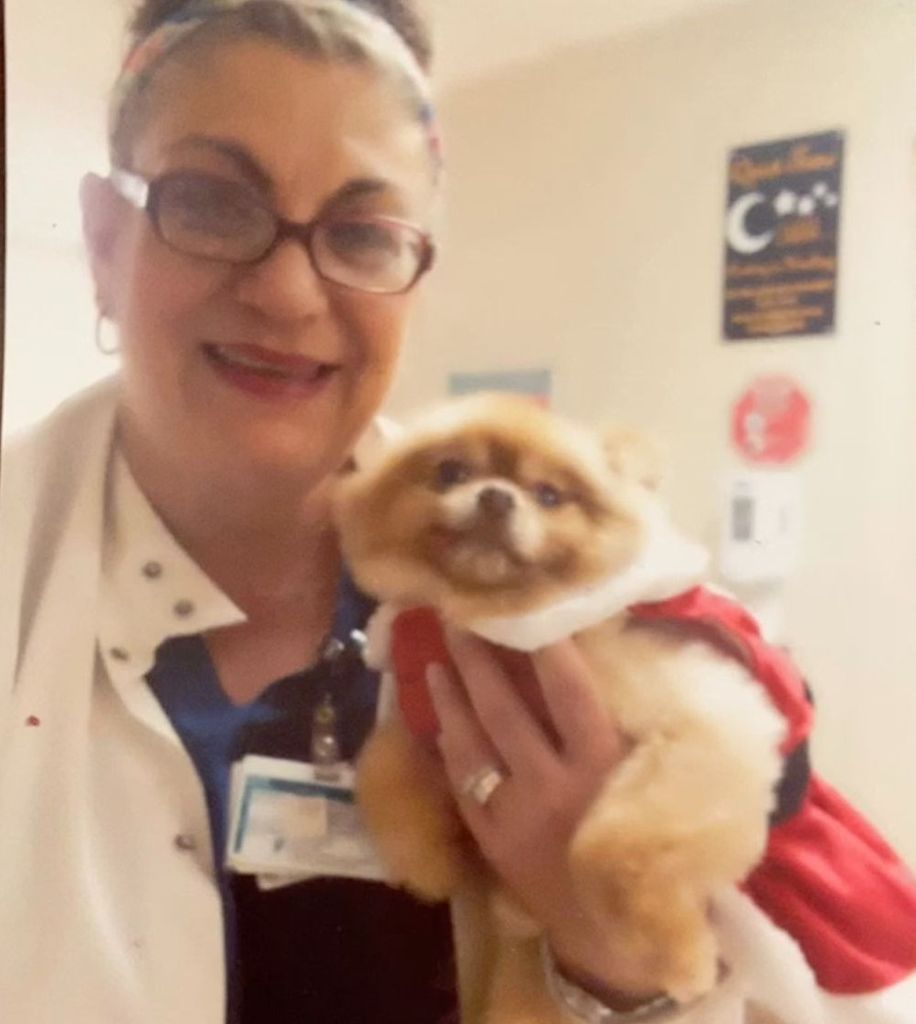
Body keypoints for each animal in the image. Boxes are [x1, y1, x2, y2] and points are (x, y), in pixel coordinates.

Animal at [334, 393, 786, 1021]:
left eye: (549, 495)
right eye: (451, 472)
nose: (496, 496)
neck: (500, 629)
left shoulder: (709, 729)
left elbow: (609, 852)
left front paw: (681, 958)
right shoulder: (431, 708)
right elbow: (379, 768)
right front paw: (431, 864)